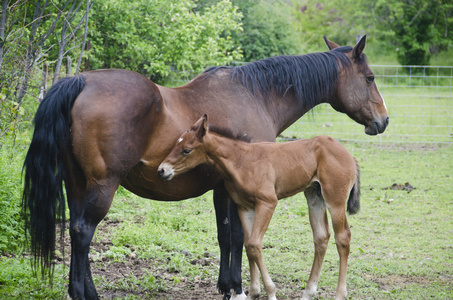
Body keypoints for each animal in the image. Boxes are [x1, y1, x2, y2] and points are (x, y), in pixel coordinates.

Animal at [152, 113, 360, 298]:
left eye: (187, 150)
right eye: (175, 145)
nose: (162, 170)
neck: (241, 160)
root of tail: (349, 156)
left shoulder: (267, 202)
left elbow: (253, 243)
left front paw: (270, 292)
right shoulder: (245, 207)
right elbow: (249, 245)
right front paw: (253, 292)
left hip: (335, 200)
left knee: (343, 238)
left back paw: (340, 294)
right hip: (314, 196)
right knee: (321, 237)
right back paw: (308, 293)